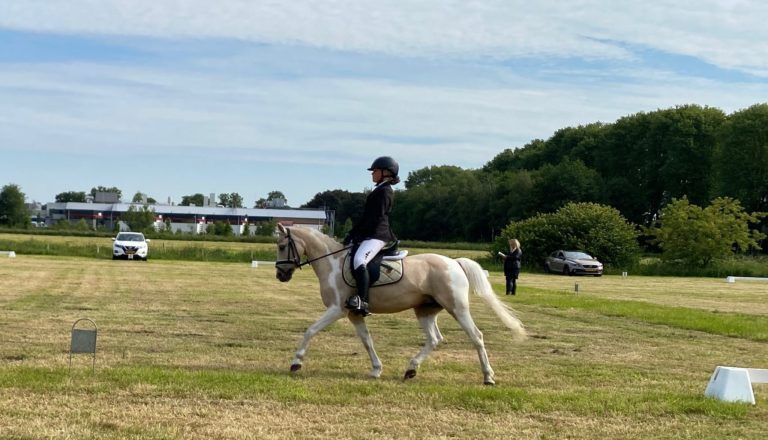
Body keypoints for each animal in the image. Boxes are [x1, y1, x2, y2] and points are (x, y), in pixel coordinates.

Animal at [276, 225, 528, 384]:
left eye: (280, 246)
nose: (280, 275)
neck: (332, 263)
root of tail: (454, 263)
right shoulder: (353, 314)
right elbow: (367, 341)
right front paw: (376, 370)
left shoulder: (337, 309)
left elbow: (311, 330)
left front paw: (296, 362)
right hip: (425, 311)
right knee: (434, 339)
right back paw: (411, 369)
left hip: (457, 308)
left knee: (476, 337)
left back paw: (488, 377)